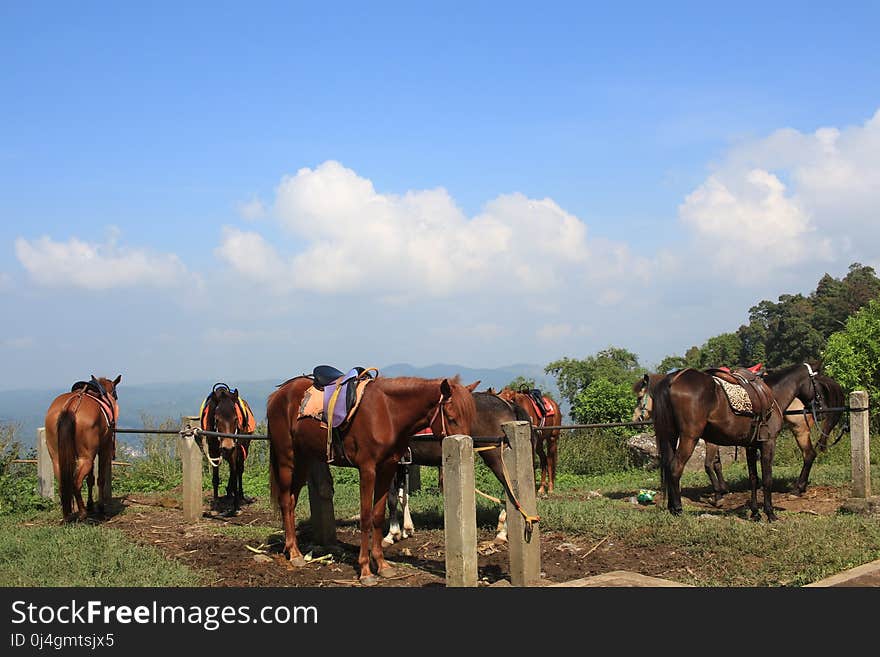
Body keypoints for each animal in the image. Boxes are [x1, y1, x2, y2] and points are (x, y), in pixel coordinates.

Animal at [44, 374, 121, 524]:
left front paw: (91, 504)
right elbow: (100, 479)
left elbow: (90, 479)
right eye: (115, 394)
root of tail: (71, 406)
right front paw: (100, 508)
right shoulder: (104, 449)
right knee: (76, 482)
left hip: (57, 458)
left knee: (63, 483)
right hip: (86, 458)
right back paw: (82, 513)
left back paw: (68, 515)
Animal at [199, 382, 254, 516]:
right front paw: (215, 506)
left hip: (243, 447)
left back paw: (240, 495)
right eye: (217, 419)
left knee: (239, 470)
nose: (228, 446)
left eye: (236, 419)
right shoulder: (213, 450)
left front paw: (236, 507)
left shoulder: (235, 450)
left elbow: (235, 474)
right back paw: (229, 492)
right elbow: (215, 478)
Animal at [266, 374, 478, 584]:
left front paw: (382, 565)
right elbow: (366, 517)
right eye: (451, 418)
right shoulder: (367, 470)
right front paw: (366, 570)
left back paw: (293, 549)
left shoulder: (387, 468)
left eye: (470, 417)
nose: (467, 447)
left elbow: (377, 515)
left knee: (291, 501)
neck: (388, 412)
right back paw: (294, 553)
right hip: (286, 459)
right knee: (285, 501)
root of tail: (277, 394)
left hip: (304, 460)